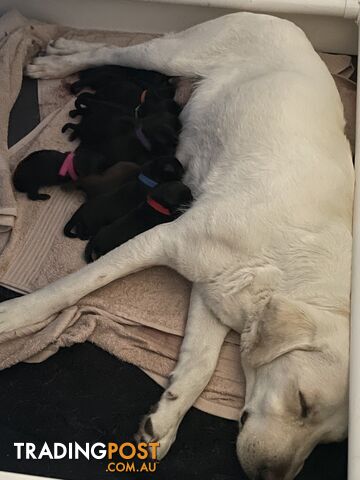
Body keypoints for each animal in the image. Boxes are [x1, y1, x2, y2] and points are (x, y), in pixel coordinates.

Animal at [0, 11, 354, 480]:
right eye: (302, 402)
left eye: (329, 442)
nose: (268, 476)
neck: (285, 274)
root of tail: (280, 19)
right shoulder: (163, 239)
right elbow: (71, 288)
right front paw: (12, 317)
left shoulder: (214, 288)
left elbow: (200, 366)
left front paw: (164, 421)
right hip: (175, 53)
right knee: (113, 49)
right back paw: (54, 62)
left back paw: (61, 50)